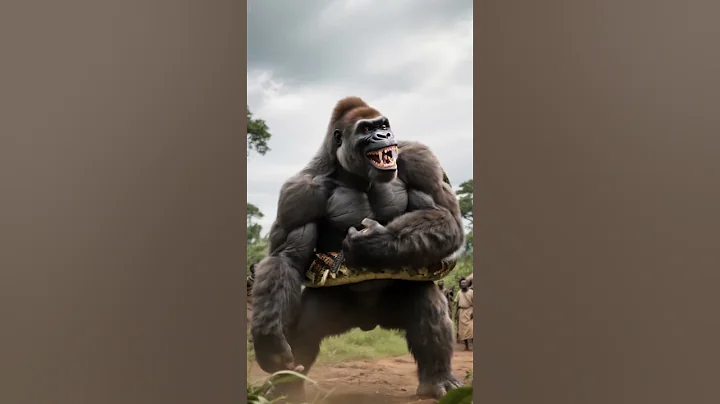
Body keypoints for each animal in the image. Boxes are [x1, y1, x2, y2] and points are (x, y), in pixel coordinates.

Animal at [250, 96, 466, 401]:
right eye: (366, 129)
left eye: (383, 126)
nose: (383, 136)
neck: (352, 173)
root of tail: (368, 322)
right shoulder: (299, 192)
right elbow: (286, 258)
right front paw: (268, 339)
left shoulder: (421, 160)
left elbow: (446, 217)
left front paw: (373, 242)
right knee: (304, 330)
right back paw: (286, 389)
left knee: (427, 303)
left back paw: (439, 381)